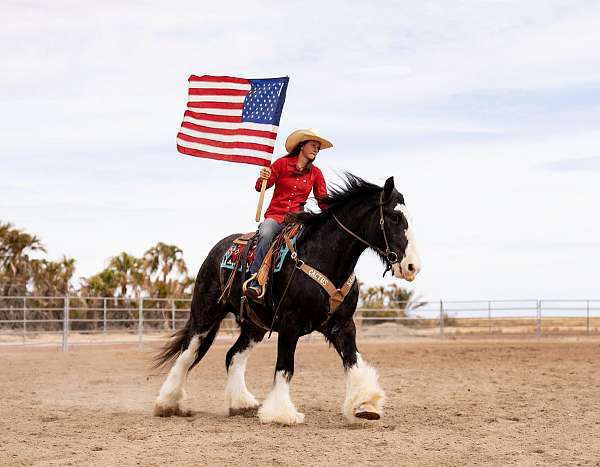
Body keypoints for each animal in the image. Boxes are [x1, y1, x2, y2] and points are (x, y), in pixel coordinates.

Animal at [152, 175, 420, 424]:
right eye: (395, 217)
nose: (412, 266)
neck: (322, 256)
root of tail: (217, 250)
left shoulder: (343, 324)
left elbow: (353, 360)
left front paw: (365, 404)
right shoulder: (290, 324)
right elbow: (285, 366)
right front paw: (281, 412)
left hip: (254, 326)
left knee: (233, 356)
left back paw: (242, 402)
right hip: (205, 314)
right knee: (187, 354)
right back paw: (167, 403)